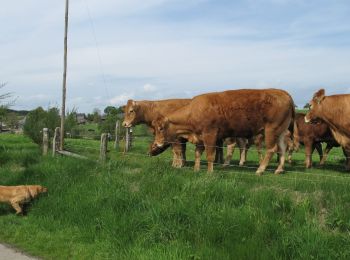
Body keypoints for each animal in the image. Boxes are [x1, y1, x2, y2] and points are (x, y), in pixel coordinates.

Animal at [150, 88, 296, 176]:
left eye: (161, 128)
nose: (157, 143)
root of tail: (282, 92)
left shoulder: (210, 135)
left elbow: (210, 155)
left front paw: (209, 172)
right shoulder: (200, 138)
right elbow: (197, 154)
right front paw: (196, 169)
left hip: (271, 130)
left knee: (272, 149)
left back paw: (260, 170)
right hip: (281, 131)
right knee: (282, 149)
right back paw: (279, 169)